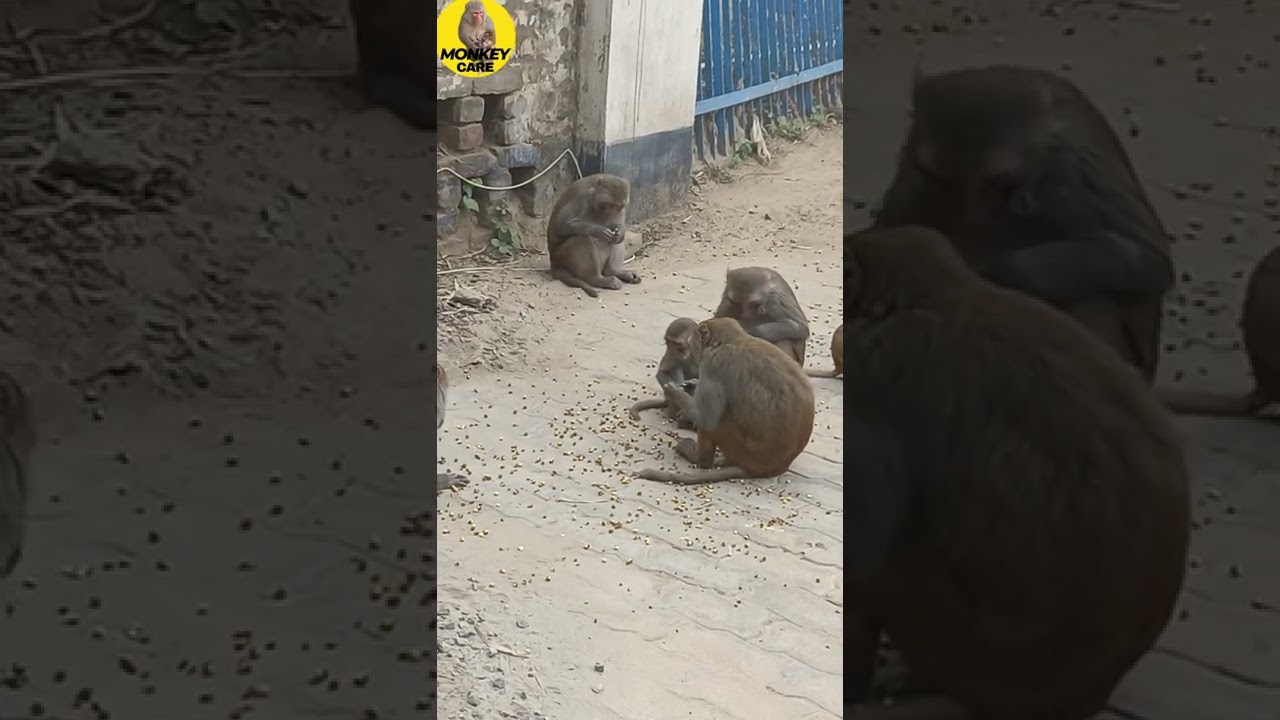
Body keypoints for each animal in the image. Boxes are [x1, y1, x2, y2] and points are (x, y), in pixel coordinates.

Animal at [636, 318, 816, 486]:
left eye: (691, 342)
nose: (690, 351)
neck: (732, 340)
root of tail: (775, 467)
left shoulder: (712, 363)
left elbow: (706, 417)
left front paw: (675, 390)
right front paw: (691, 384)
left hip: (739, 448)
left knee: (713, 423)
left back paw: (699, 458)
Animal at [871, 64, 1174, 383]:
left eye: (994, 182)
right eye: (943, 182)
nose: (974, 214)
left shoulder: (1074, 164)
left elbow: (1149, 261)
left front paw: (996, 274)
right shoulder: (913, 158)